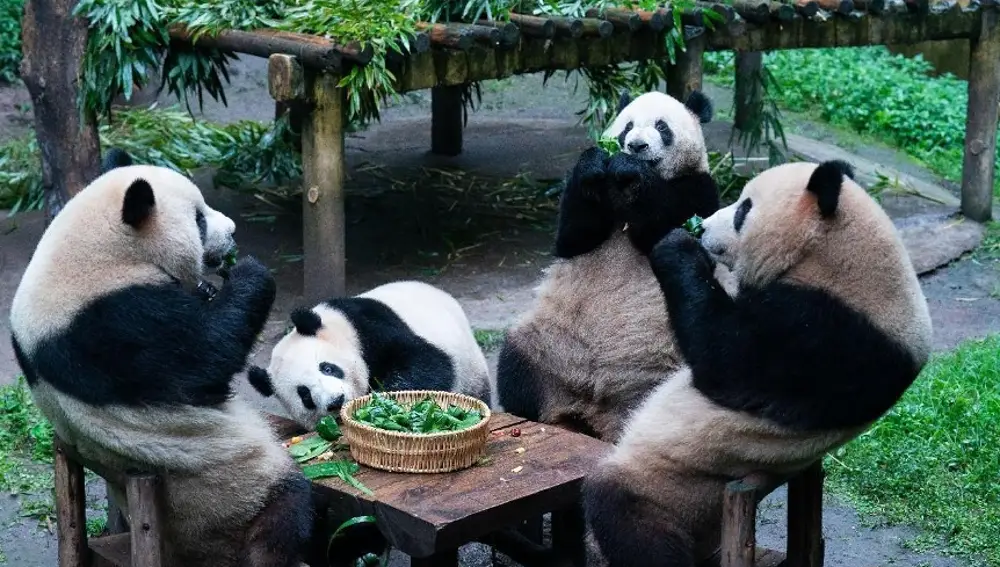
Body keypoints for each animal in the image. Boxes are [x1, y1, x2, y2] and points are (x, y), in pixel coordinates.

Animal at [8, 149, 312, 567]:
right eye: (199, 219)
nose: (233, 232)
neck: (102, 251)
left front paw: (209, 288)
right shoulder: (113, 322)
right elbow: (204, 360)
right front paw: (248, 271)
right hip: (228, 495)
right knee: (285, 511)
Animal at [247, 280, 494, 430]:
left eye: (327, 368)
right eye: (305, 395)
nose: (336, 401)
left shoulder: (368, 326)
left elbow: (427, 362)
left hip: (470, 369)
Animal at [495, 89, 736, 442]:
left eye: (662, 127)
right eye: (627, 127)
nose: (636, 146)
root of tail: (597, 412)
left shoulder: (698, 189)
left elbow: (665, 224)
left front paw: (630, 170)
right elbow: (574, 237)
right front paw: (594, 162)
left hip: (662, 366)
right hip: (547, 344)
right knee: (516, 365)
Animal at [582, 160, 933, 567]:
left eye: (743, 210)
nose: (703, 228)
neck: (839, 260)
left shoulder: (828, 337)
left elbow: (725, 361)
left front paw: (677, 246)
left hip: (677, 487)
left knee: (630, 518)